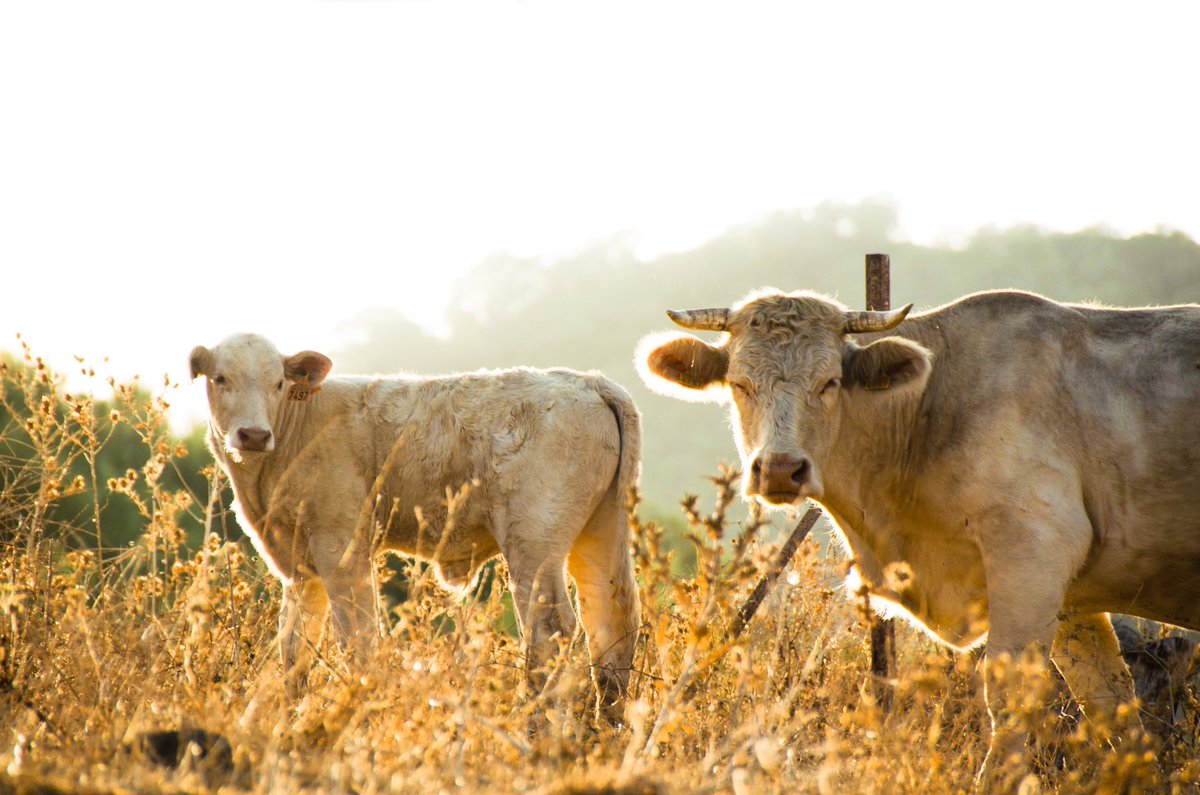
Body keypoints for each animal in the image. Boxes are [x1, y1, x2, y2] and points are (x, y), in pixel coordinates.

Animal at [190, 333, 642, 719]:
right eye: (220, 378)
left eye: (279, 382)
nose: (253, 434)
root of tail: (589, 382)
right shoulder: (300, 568)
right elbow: (293, 648)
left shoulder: (342, 551)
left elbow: (357, 638)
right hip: (602, 529)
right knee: (611, 621)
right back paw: (606, 725)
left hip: (534, 539)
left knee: (551, 629)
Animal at [637, 287, 1200, 783]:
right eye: (739, 383)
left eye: (829, 382)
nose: (780, 469)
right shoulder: (1073, 602)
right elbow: (1112, 707)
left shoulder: (1032, 556)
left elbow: (1007, 703)